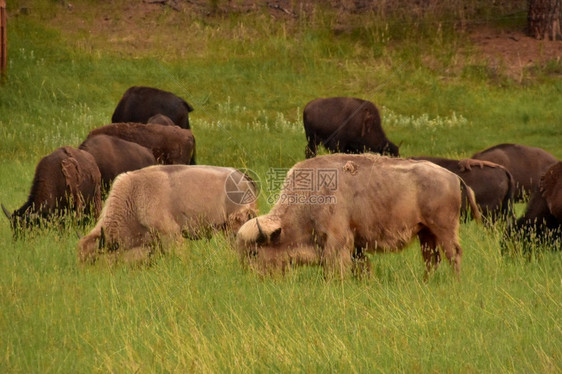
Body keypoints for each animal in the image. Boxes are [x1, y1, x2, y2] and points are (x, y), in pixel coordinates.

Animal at [235, 153, 476, 280]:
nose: (250, 278)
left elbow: (335, 268)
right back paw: (425, 282)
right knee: (431, 259)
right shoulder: (355, 246)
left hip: (443, 229)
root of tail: (452, 176)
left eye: (254, 253)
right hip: (425, 233)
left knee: (453, 254)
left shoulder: (338, 241)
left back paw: (454, 282)